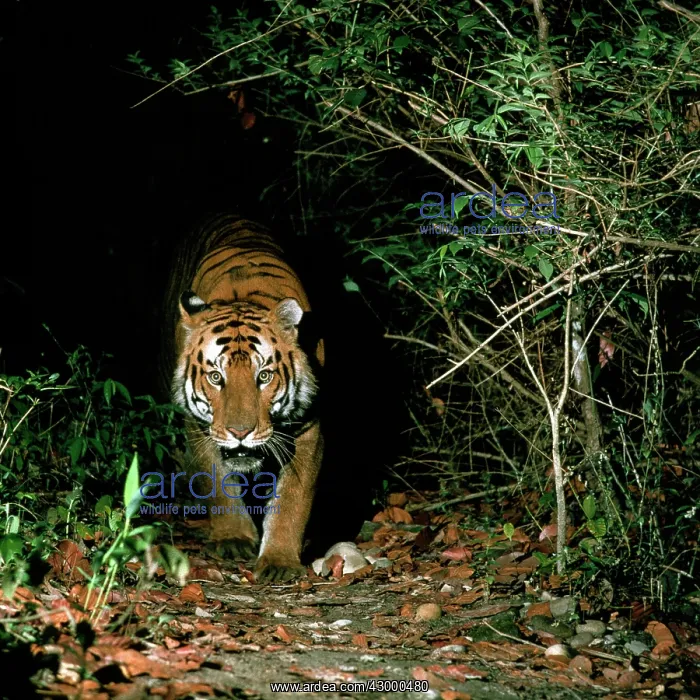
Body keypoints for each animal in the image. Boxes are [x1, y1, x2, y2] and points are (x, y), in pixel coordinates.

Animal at [162, 214, 324, 582]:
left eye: (263, 376)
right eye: (215, 377)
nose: (240, 432)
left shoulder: (308, 427)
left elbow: (292, 499)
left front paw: (279, 560)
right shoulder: (199, 427)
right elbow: (217, 482)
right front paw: (233, 539)